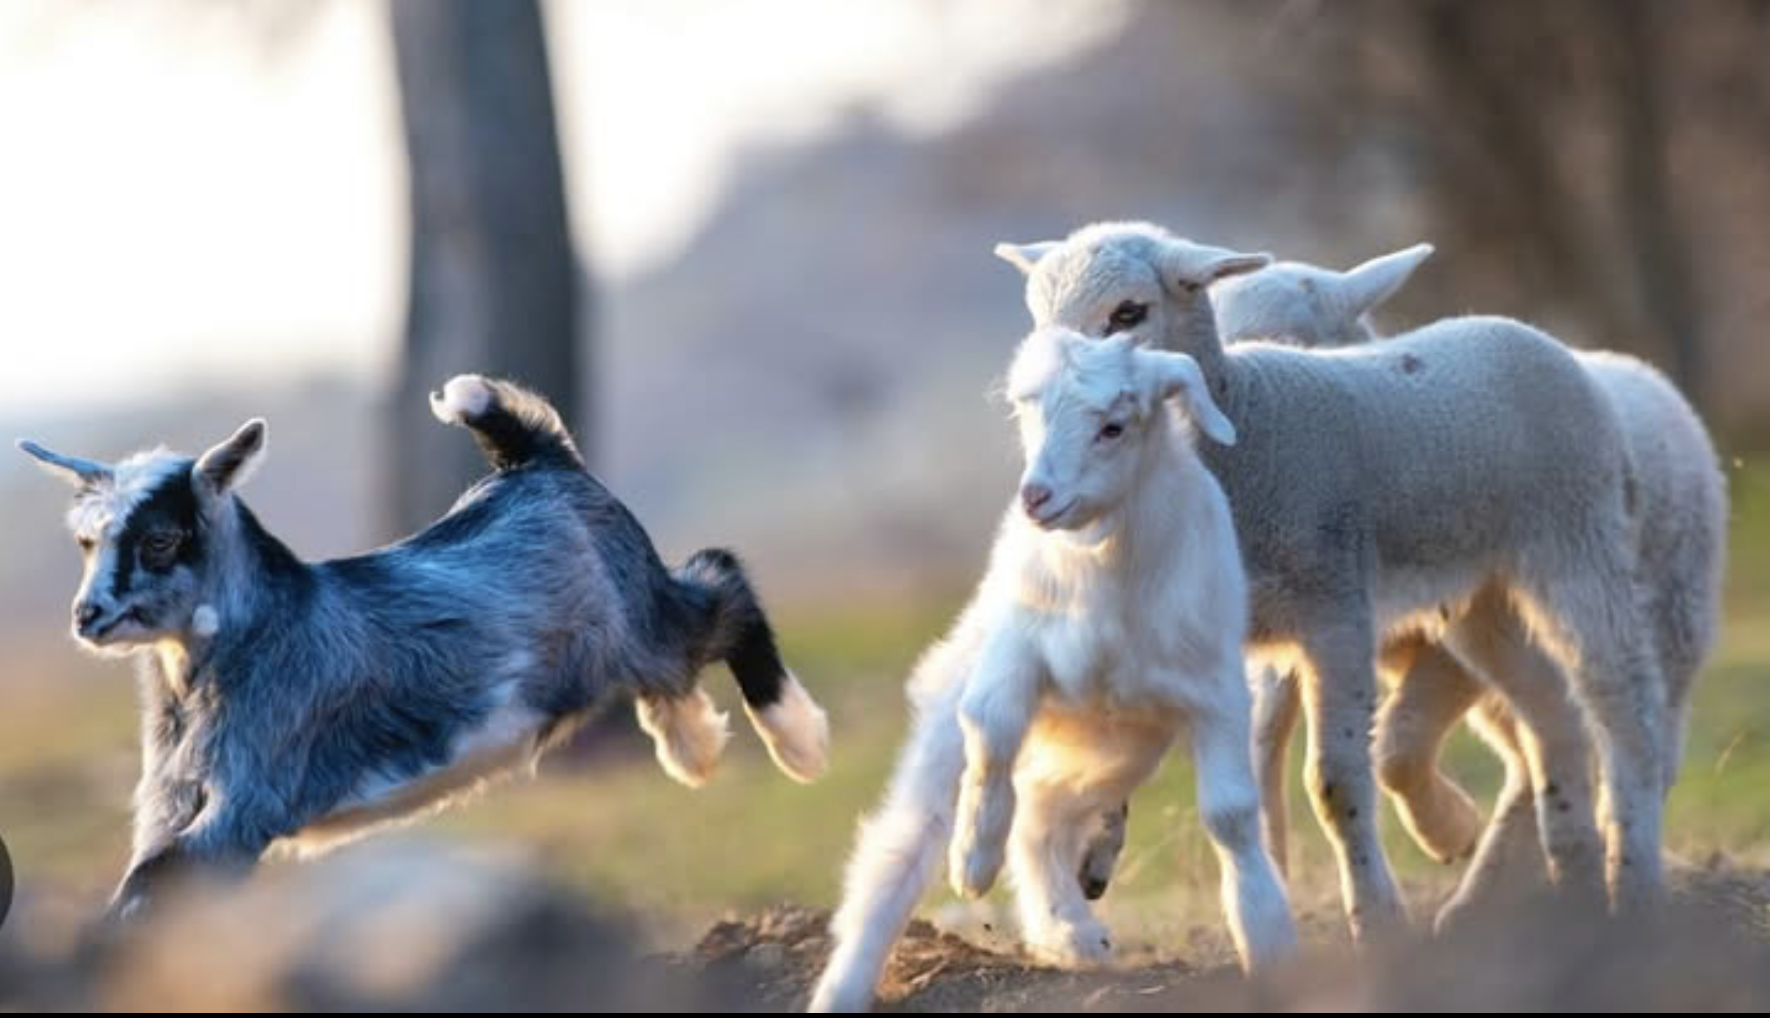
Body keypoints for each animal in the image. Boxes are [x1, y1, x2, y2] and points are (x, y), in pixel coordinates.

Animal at [17, 374, 829, 919]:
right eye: (87, 541)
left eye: (159, 540)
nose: (88, 617)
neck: (247, 642)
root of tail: (535, 463)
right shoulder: (170, 802)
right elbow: (149, 886)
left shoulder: (251, 796)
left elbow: (144, 892)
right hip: (630, 637)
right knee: (681, 660)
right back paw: (693, 746)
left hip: (640, 619)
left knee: (722, 584)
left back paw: (797, 742)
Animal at [808, 327, 1296, 1012]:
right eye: (1030, 415)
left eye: (1113, 427)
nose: (1035, 496)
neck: (1106, 574)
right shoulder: (1015, 652)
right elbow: (991, 729)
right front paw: (972, 861)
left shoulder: (1214, 690)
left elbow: (1230, 816)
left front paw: (1268, 936)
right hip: (969, 705)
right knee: (905, 841)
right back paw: (848, 984)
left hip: (1118, 743)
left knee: (1041, 810)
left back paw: (1071, 932)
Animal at [992, 222, 1671, 937]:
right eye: (1037, 317)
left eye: (1129, 313)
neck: (1249, 426)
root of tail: (1536, 338)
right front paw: (1096, 853)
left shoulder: (1335, 609)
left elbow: (1335, 781)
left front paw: (1377, 919)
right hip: (1482, 594)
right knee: (1551, 712)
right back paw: (1574, 879)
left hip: (1578, 539)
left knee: (1622, 698)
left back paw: (1633, 880)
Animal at [1207, 245, 1726, 925]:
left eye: (1290, 343)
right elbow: (1267, 738)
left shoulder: (1432, 634)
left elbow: (1396, 746)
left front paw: (1446, 830)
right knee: (1536, 747)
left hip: (1667, 611)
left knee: (1633, 737)